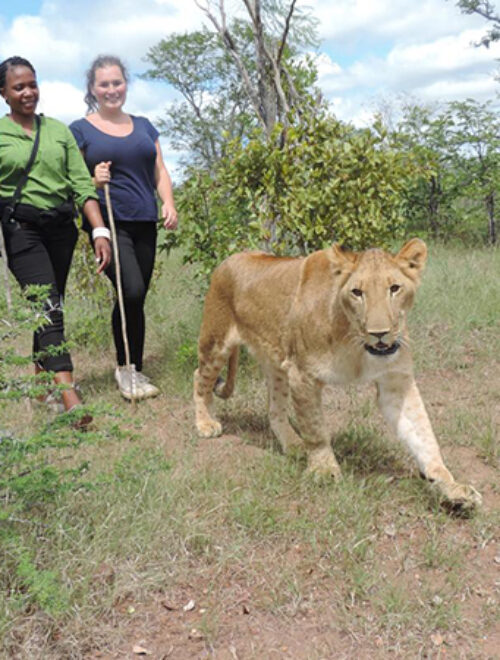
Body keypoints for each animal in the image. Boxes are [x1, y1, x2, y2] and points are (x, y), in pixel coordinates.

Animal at [193, 238, 481, 509]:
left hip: (276, 364)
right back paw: (206, 423)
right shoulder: (302, 375)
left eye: (394, 288)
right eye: (357, 292)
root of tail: (230, 258)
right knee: (200, 376)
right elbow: (316, 430)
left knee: (274, 409)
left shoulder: (396, 383)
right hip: (216, 341)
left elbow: (424, 436)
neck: (355, 343)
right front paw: (324, 470)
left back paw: (293, 445)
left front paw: (453, 487)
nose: (379, 333)